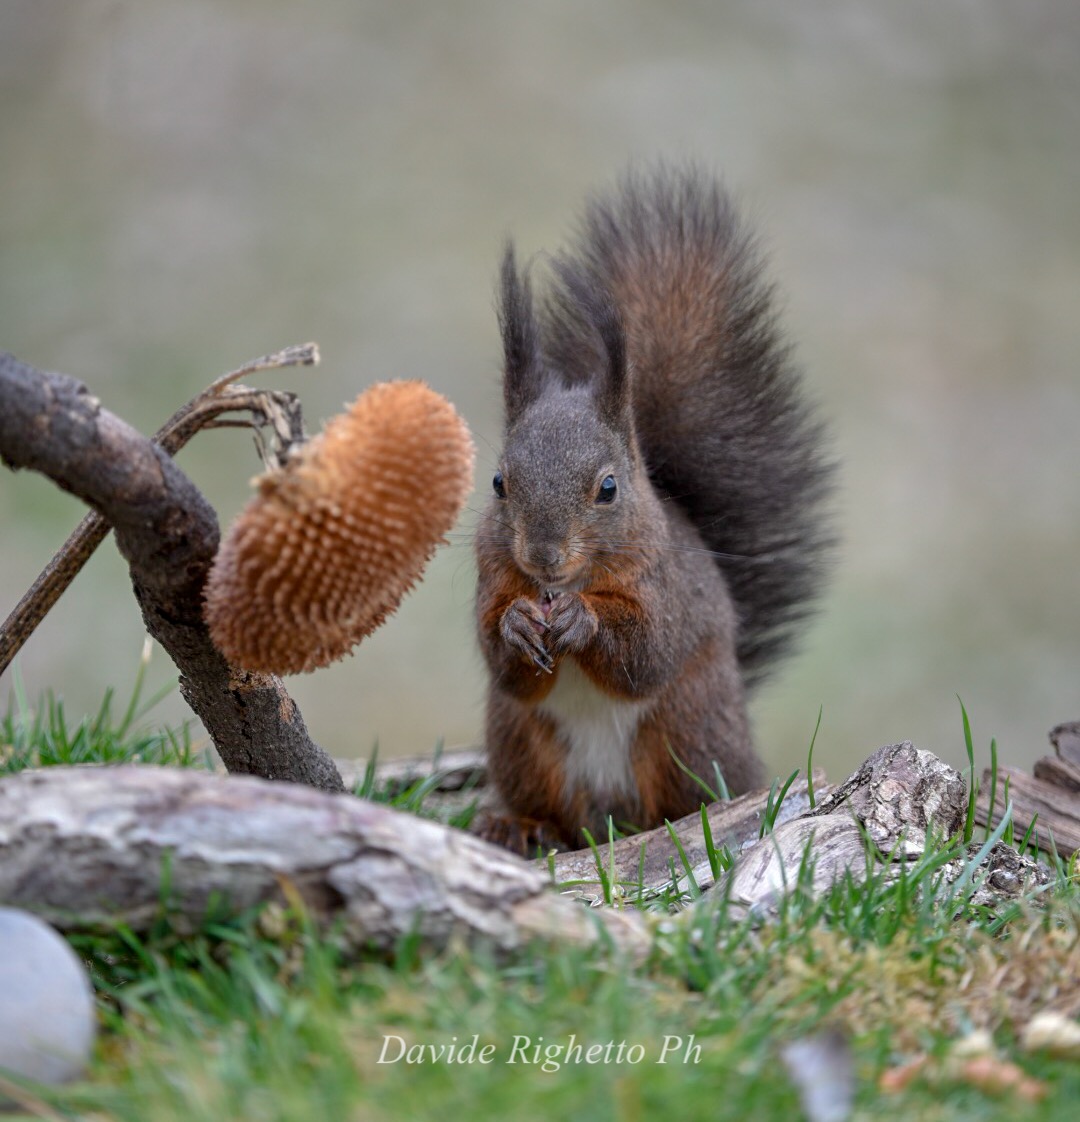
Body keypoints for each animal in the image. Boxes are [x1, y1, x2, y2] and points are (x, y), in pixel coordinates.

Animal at [473, 164, 834, 855]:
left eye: (609, 488)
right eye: (500, 482)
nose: (543, 556)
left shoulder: (668, 589)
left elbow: (647, 653)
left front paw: (583, 620)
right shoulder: (493, 579)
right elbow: (500, 660)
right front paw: (517, 626)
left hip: (684, 728)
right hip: (520, 740)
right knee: (554, 811)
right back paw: (520, 825)